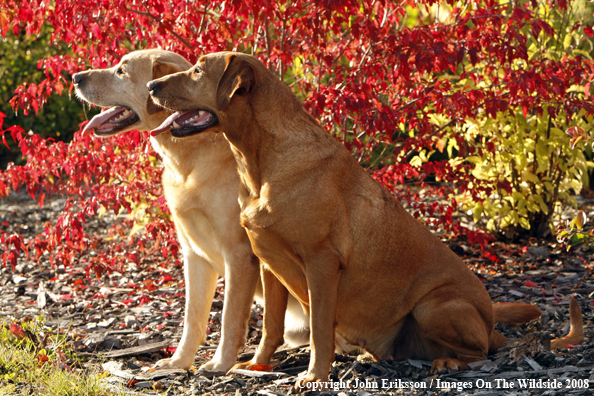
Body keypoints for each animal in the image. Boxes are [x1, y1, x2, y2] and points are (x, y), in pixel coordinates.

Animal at [71, 49, 308, 374]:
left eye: (121, 71)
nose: (75, 77)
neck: (188, 161)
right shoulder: (193, 253)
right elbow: (192, 317)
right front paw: (179, 362)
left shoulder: (238, 254)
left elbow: (230, 316)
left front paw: (221, 362)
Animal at [145, 51, 568, 386]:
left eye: (198, 71)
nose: (151, 84)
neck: (259, 164)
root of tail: (492, 324)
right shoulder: (268, 263)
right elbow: (271, 326)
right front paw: (258, 366)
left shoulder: (321, 262)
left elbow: (319, 328)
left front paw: (314, 376)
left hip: (435, 306)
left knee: (480, 353)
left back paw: (447, 362)